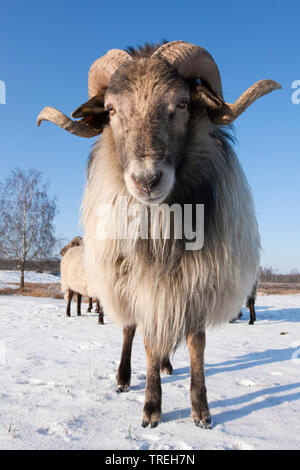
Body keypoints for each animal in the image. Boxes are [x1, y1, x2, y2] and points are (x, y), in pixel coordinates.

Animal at [38, 42, 282, 428]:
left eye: (182, 103)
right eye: (111, 109)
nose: (147, 180)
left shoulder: (196, 285)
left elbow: (196, 343)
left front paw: (201, 412)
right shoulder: (142, 286)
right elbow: (148, 342)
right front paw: (151, 410)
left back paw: (168, 366)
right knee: (130, 330)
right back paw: (124, 378)